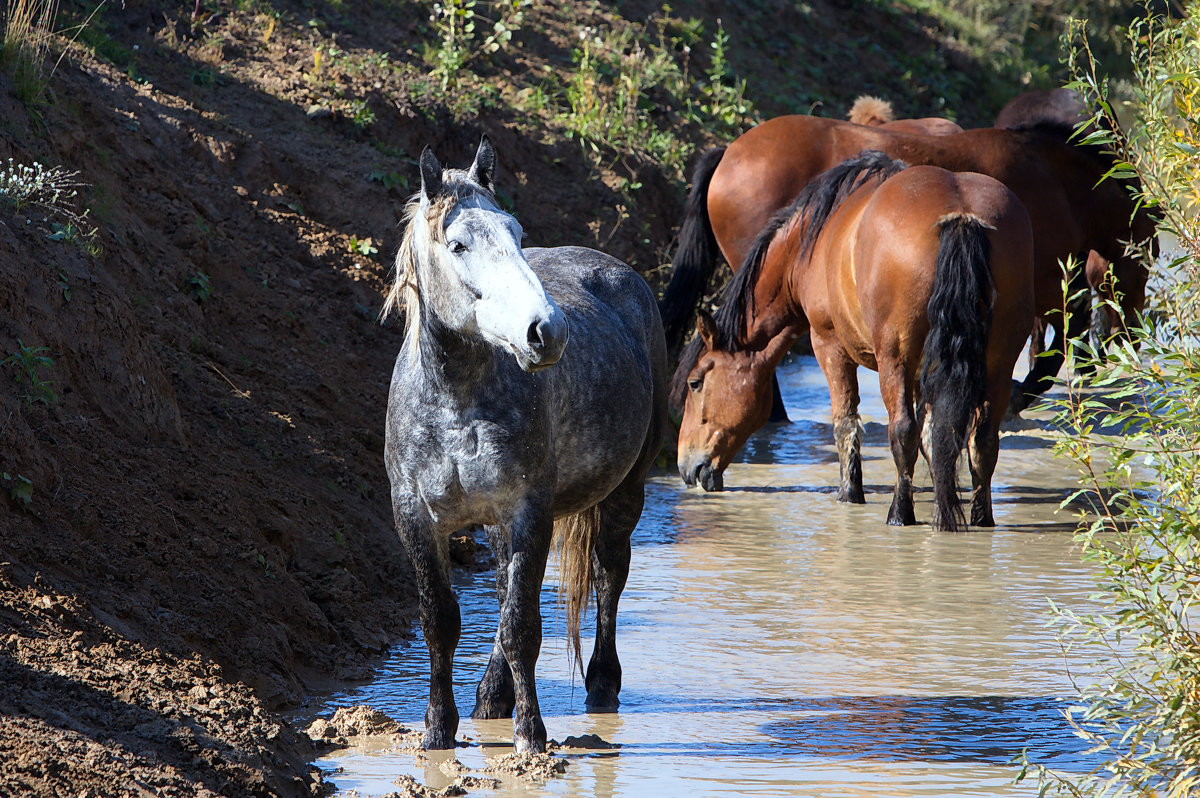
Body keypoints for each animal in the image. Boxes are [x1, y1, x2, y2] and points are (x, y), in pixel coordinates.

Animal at [381, 136, 667, 753]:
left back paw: (600, 683)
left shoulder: (527, 513)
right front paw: (437, 730)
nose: (547, 331)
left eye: (515, 233)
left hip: (625, 493)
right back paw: (491, 695)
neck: (455, 402)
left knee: (608, 574)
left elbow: (522, 628)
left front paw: (531, 737)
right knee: (504, 588)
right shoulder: (416, 519)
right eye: (457, 244)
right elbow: (441, 622)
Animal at [662, 114, 1156, 412]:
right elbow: (1066, 327)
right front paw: (1031, 388)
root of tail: (728, 152)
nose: (1133, 333)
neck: (1055, 179)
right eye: (1147, 254)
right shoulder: (1045, 278)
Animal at [676, 152, 1032, 532]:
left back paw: (899, 514)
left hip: (895, 358)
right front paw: (942, 501)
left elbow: (846, 423)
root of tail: (961, 216)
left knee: (902, 431)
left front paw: (850, 493)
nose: (686, 467)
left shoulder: (828, 344)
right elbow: (934, 436)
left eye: (695, 383)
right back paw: (980, 518)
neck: (809, 244)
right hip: (998, 361)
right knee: (982, 439)